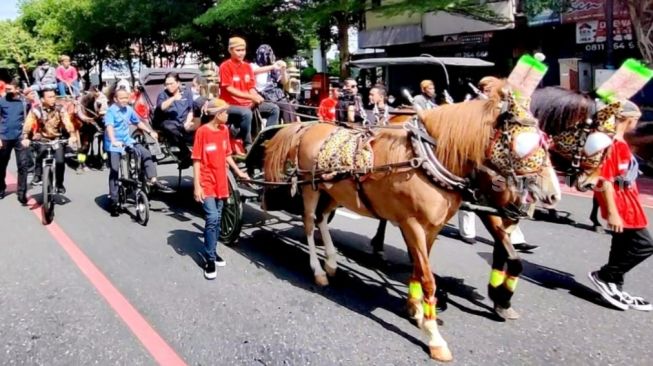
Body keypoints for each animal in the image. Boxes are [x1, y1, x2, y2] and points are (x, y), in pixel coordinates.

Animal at [262, 86, 556, 364]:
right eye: (524, 142)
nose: (550, 193)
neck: (427, 161)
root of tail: (307, 125)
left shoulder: (431, 227)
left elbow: (418, 267)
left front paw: (415, 308)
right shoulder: (412, 223)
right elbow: (428, 279)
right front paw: (435, 338)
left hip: (333, 191)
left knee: (322, 219)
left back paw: (332, 263)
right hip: (309, 188)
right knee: (309, 223)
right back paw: (318, 270)